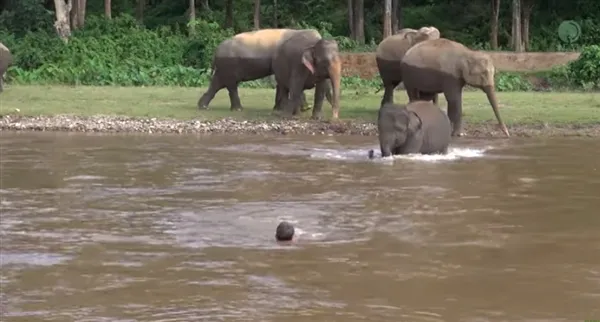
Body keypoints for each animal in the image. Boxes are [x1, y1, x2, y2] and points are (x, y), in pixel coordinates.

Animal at [196, 28, 332, 112]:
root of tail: (216, 51)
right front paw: (303, 108)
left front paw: (279, 109)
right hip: (229, 65)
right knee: (231, 85)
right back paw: (238, 109)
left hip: (224, 67)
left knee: (217, 84)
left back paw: (202, 106)